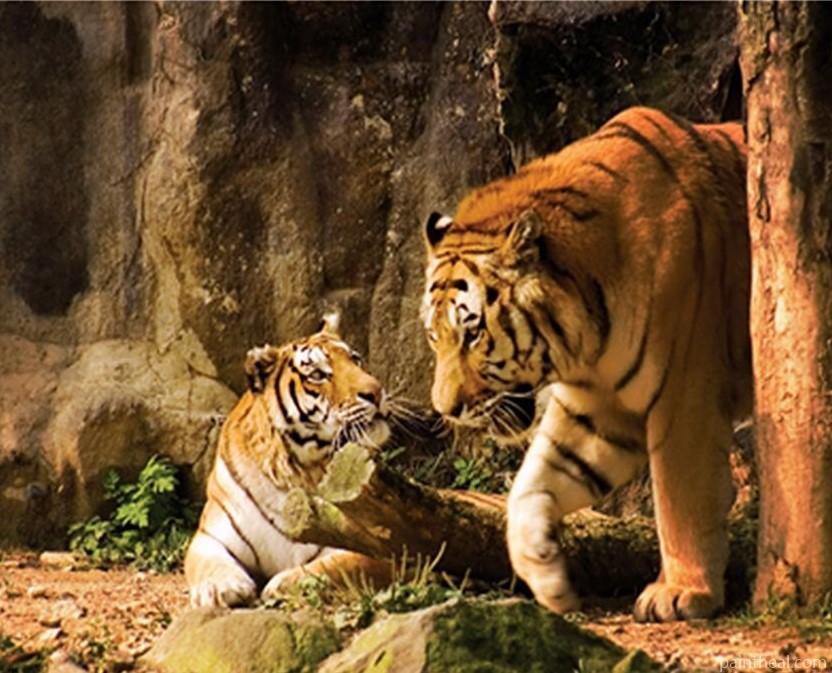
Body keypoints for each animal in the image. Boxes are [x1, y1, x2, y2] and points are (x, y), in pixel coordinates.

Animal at [185, 317, 403, 608]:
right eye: (318, 375)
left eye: (356, 360)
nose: (377, 392)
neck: (297, 468)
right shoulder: (209, 536)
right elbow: (208, 563)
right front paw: (220, 587)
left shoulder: (379, 547)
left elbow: (337, 566)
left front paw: (282, 584)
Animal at [421, 106, 750, 622]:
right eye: (435, 337)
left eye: (472, 334)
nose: (445, 411)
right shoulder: (595, 410)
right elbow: (529, 489)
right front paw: (547, 576)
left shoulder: (685, 398)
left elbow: (680, 499)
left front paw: (682, 593)